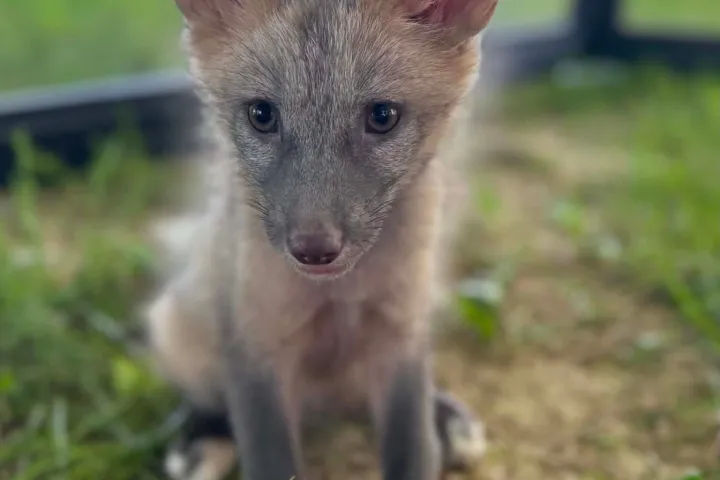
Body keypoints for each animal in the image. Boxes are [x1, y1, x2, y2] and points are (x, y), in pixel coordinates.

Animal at [144, 0, 499, 479]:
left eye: (382, 116)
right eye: (262, 115)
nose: (314, 250)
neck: (342, 295)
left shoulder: (402, 331)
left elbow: (412, 444)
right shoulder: (256, 343)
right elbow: (270, 457)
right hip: (175, 330)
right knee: (208, 393)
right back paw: (205, 435)